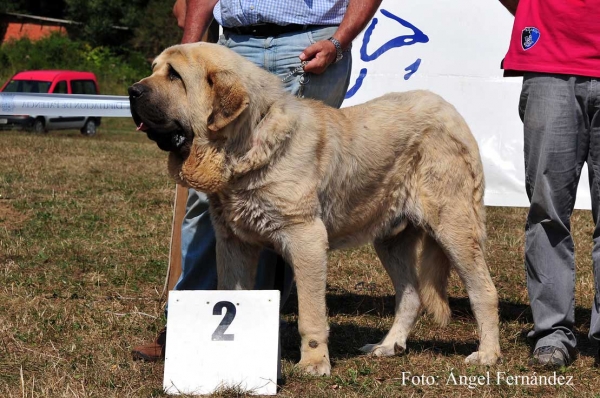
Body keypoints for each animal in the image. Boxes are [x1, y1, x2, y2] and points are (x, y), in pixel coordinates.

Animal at [130, 42, 502, 374]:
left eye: (175, 76)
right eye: (154, 69)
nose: (133, 91)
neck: (244, 144)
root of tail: (453, 114)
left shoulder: (305, 240)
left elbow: (310, 315)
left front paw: (314, 362)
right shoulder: (234, 244)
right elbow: (234, 296)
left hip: (454, 228)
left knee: (483, 291)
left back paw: (487, 354)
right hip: (391, 239)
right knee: (410, 295)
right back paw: (389, 346)